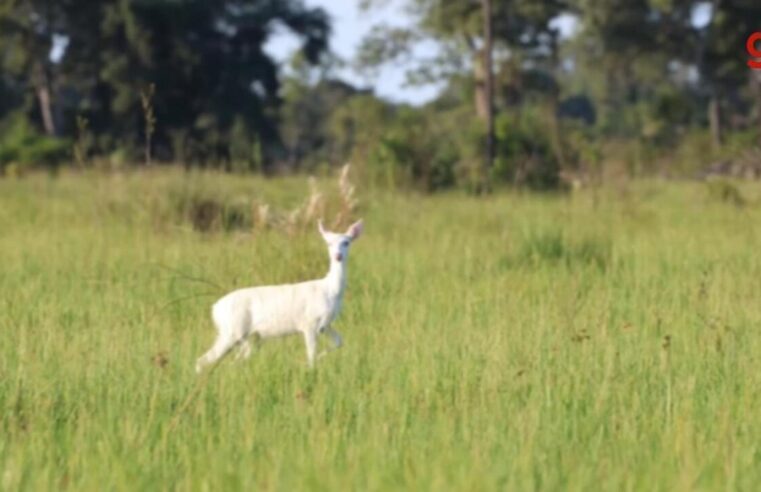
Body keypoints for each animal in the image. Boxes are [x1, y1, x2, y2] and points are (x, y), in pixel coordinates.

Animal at [194, 219, 364, 372]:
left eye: (346, 242)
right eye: (328, 243)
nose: (338, 256)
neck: (330, 291)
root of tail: (215, 309)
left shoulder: (325, 325)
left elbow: (339, 342)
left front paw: (320, 358)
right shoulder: (308, 323)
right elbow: (311, 355)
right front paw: (310, 369)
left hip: (249, 337)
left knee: (234, 360)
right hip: (232, 331)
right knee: (203, 360)